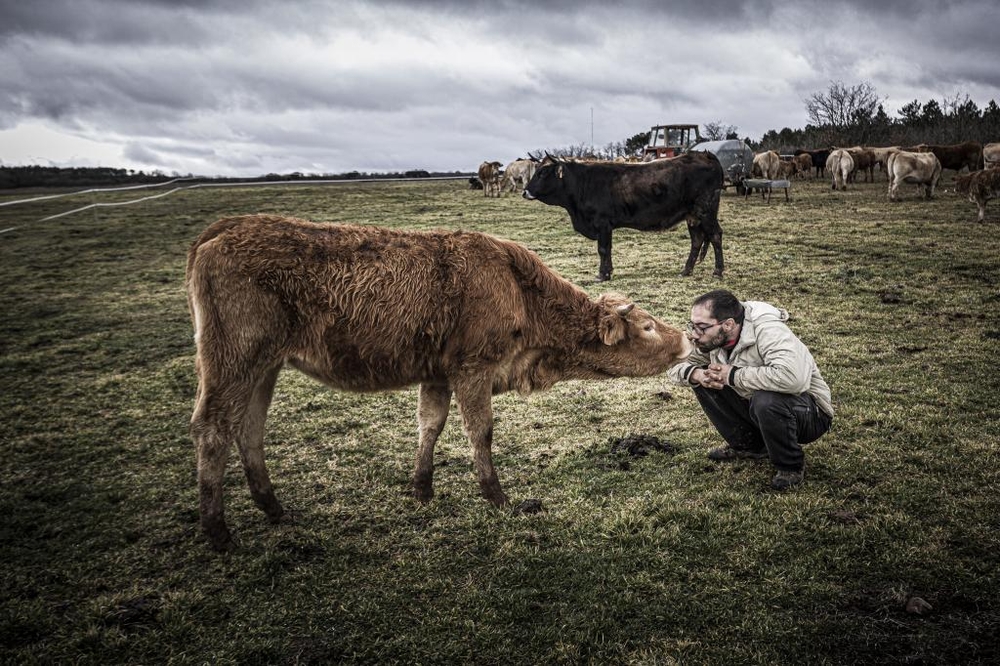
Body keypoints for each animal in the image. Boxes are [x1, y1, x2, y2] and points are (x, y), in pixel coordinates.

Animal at [186, 214, 696, 548]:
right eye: (647, 326)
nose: (688, 338)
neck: (517, 287)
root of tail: (224, 228)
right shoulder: (472, 369)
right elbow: (480, 431)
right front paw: (497, 497)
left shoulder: (436, 375)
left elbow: (429, 425)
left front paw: (422, 489)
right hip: (233, 361)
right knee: (213, 428)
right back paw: (218, 531)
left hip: (264, 367)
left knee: (249, 429)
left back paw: (273, 508)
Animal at [524, 152, 728, 278]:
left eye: (543, 173)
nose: (525, 191)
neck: (583, 183)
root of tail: (704, 154)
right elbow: (607, 249)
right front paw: (608, 271)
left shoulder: (602, 223)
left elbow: (603, 249)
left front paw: (602, 274)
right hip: (693, 216)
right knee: (697, 240)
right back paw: (686, 270)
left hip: (706, 211)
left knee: (715, 236)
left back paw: (718, 271)